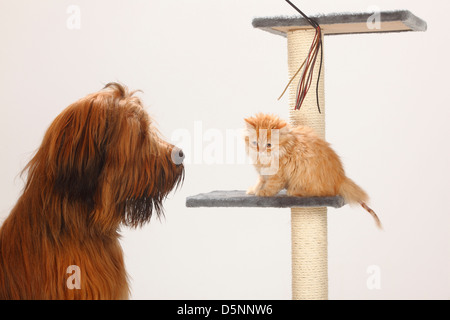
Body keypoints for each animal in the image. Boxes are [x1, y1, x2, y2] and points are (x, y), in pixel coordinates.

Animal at [244, 112, 382, 228]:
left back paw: (293, 191)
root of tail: (341, 178)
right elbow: (260, 182)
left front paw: (263, 193)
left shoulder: (278, 174)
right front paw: (253, 190)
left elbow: (271, 186)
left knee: (317, 192)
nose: (260, 150)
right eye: (255, 143)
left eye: (268, 145)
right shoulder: (263, 173)